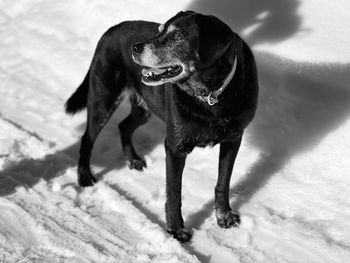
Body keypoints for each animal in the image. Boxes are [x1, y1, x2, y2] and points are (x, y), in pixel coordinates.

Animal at [65, 11, 258, 243]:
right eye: (160, 31)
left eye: (176, 35)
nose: (134, 48)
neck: (210, 95)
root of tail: (111, 30)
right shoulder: (175, 147)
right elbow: (174, 193)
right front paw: (176, 230)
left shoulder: (233, 140)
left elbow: (223, 182)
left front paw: (224, 216)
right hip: (103, 100)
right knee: (87, 138)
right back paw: (84, 176)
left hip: (144, 107)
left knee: (124, 126)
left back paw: (133, 160)